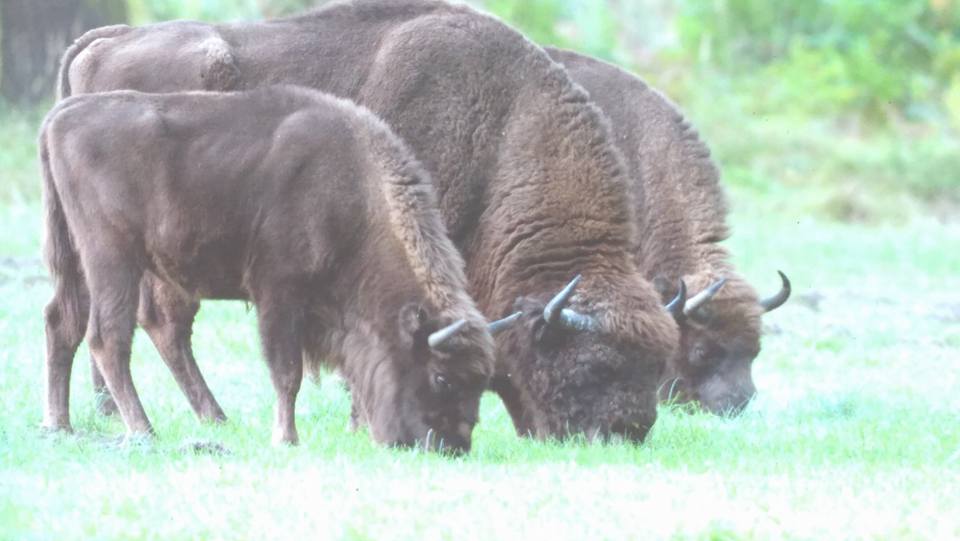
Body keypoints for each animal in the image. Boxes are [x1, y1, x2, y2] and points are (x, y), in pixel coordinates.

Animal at [40, 84, 510, 450]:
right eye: (443, 378)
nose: (452, 446)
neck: (356, 192)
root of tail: (62, 116)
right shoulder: (279, 293)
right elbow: (287, 372)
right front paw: (286, 438)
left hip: (79, 262)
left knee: (63, 323)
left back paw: (60, 425)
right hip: (112, 258)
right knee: (108, 337)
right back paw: (143, 429)